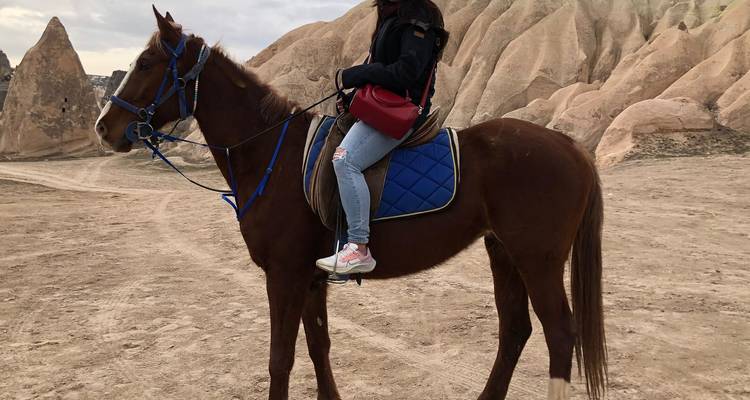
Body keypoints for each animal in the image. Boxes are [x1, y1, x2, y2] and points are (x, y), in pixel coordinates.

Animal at [94, 7, 607, 400]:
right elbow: (318, 347)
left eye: (146, 63)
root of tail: (570, 145)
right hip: (503, 253)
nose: (103, 127)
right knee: (515, 330)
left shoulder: (284, 276)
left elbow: (281, 358)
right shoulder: (310, 279)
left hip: (537, 260)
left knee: (560, 335)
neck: (272, 153)